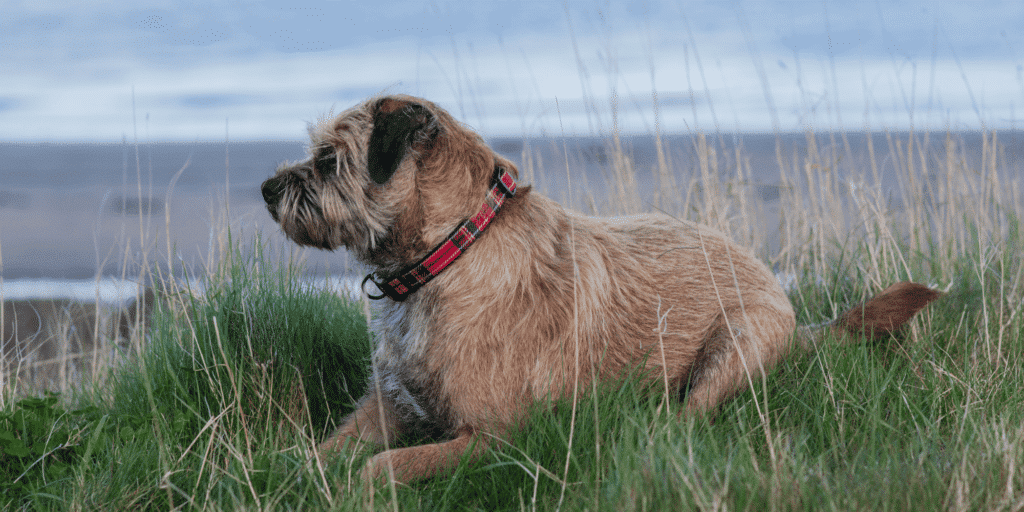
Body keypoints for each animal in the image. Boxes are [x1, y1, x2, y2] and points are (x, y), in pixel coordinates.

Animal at [260, 95, 937, 483]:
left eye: (329, 161)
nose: (266, 188)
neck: (450, 252)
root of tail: (798, 315)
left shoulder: (493, 438)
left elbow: (385, 466)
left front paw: (352, 485)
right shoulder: (385, 407)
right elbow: (326, 448)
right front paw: (287, 468)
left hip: (738, 341)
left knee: (689, 419)